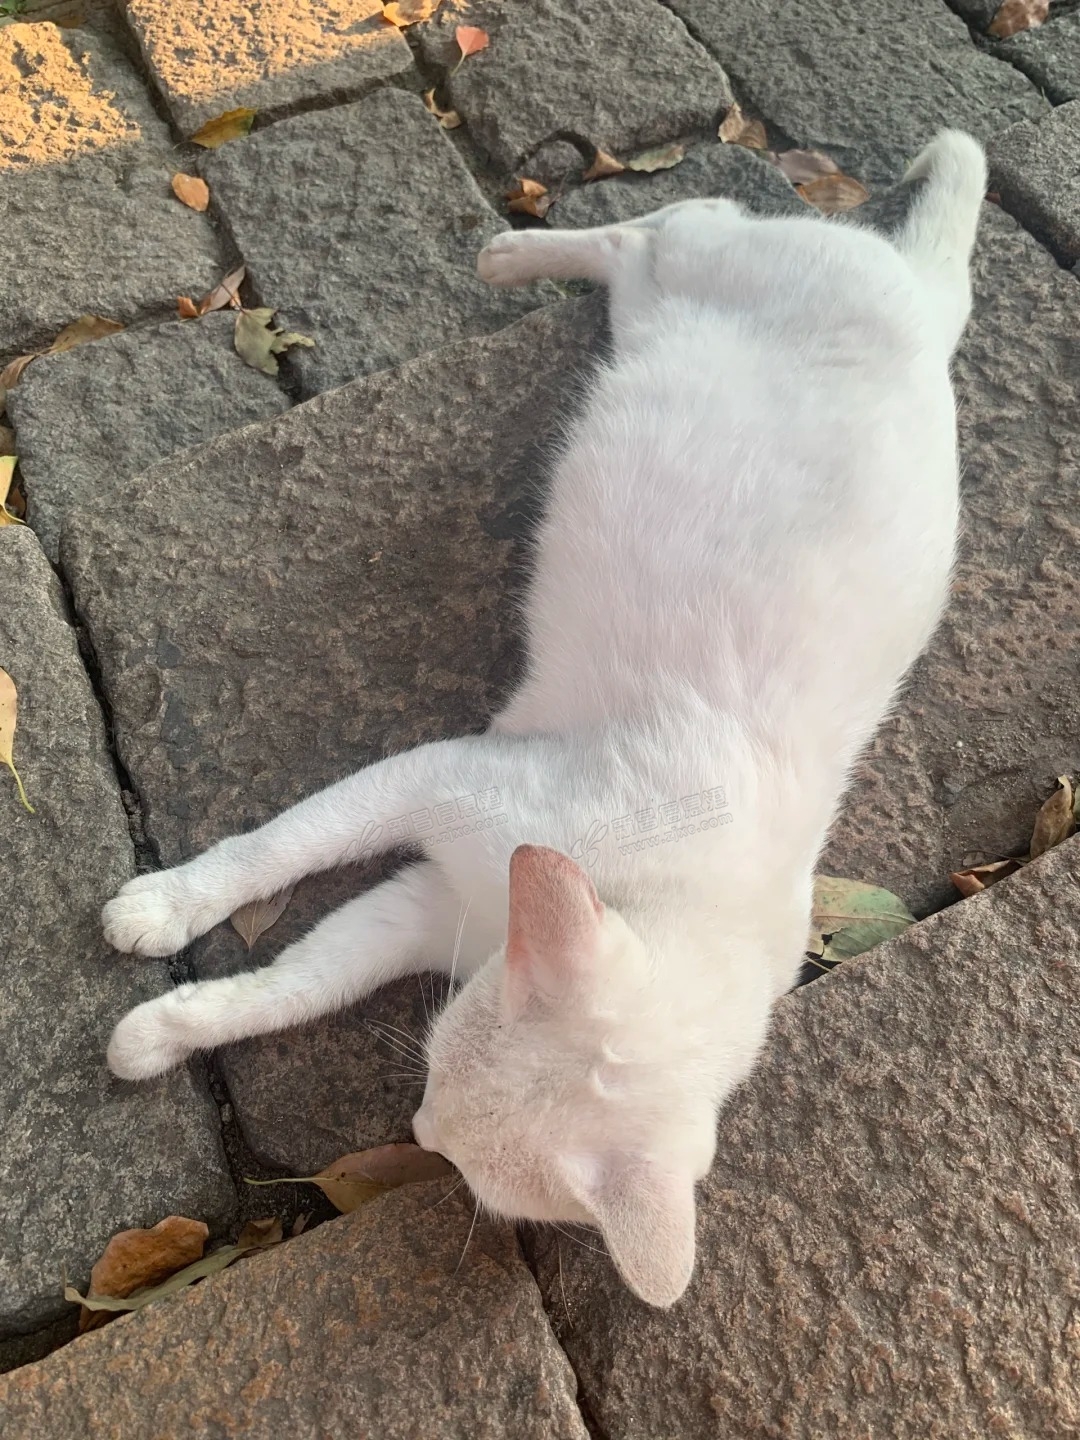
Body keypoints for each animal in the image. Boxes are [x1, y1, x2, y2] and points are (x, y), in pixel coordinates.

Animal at [103, 130, 986, 1307]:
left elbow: (298, 983)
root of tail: (926, 304)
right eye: (434, 1076)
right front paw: (165, 910)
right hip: (708, 262)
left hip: (666, 308)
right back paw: (514, 253)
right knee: (670, 220)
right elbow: (274, 851)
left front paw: (167, 1028)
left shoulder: (429, 906)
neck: (653, 890)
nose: (420, 1129)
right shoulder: (437, 779)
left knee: (652, 244)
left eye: (451, 1128)